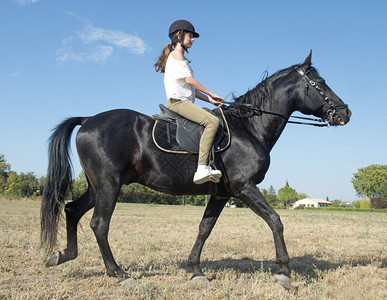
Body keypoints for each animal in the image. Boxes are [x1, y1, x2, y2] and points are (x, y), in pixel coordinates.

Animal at [40, 52, 352, 288]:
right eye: (320, 83)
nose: (345, 112)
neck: (249, 128)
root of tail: (88, 119)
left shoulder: (221, 194)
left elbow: (205, 229)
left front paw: (196, 270)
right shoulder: (245, 187)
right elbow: (275, 220)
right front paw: (284, 272)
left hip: (98, 187)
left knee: (72, 211)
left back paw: (62, 255)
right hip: (109, 186)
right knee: (99, 224)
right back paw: (117, 272)